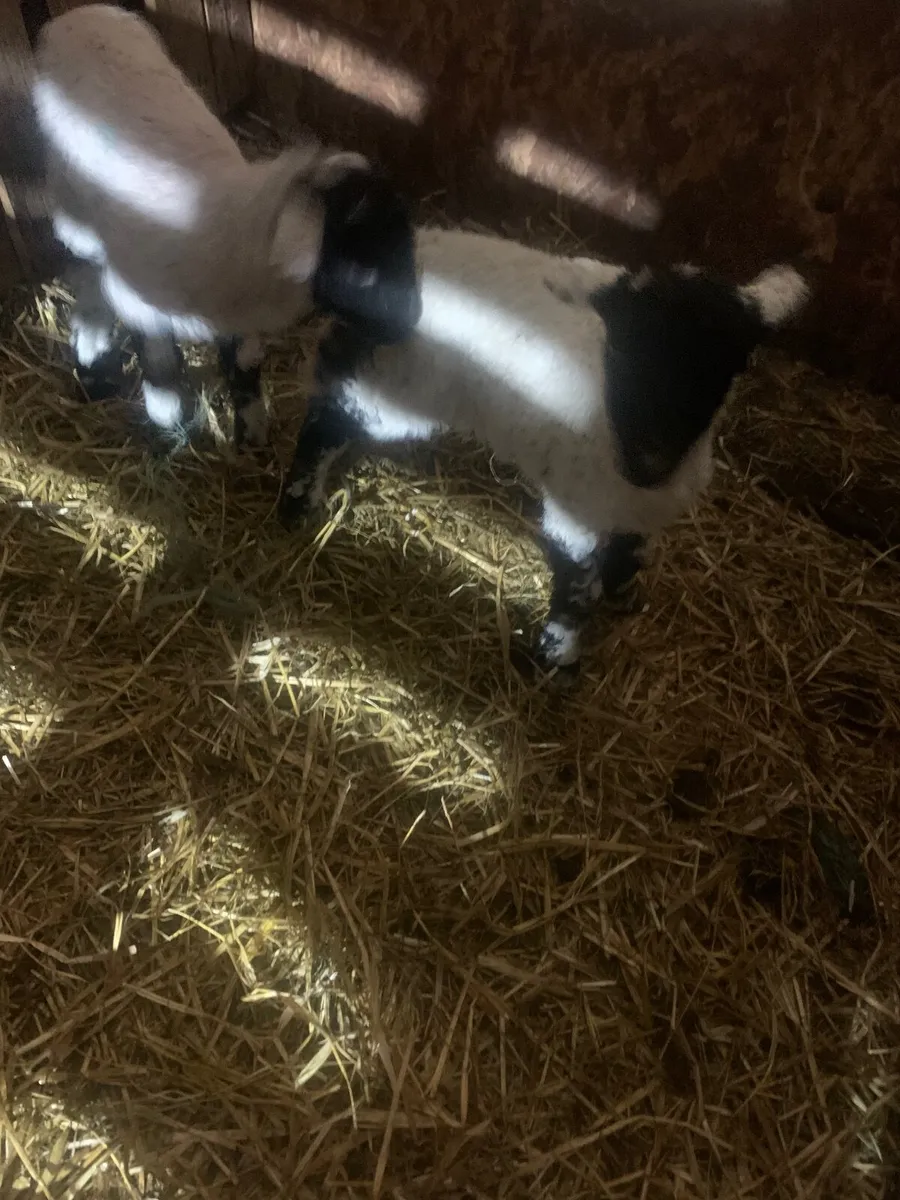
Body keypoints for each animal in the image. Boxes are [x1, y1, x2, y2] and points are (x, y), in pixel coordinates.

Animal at [32, 3, 420, 445]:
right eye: (359, 268)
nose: (407, 325)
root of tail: (78, 14)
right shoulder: (138, 303)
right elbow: (161, 366)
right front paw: (169, 426)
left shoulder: (241, 321)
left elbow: (244, 366)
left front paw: (251, 432)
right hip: (69, 204)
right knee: (83, 267)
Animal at [279, 227, 809, 676]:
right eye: (626, 349)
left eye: (726, 368)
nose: (647, 462)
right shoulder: (579, 509)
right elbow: (578, 585)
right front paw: (559, 657)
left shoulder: (635, 509)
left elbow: (628, 554)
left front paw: (624, 595)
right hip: (391, 382)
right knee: (328, 416)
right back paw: (298, 503)